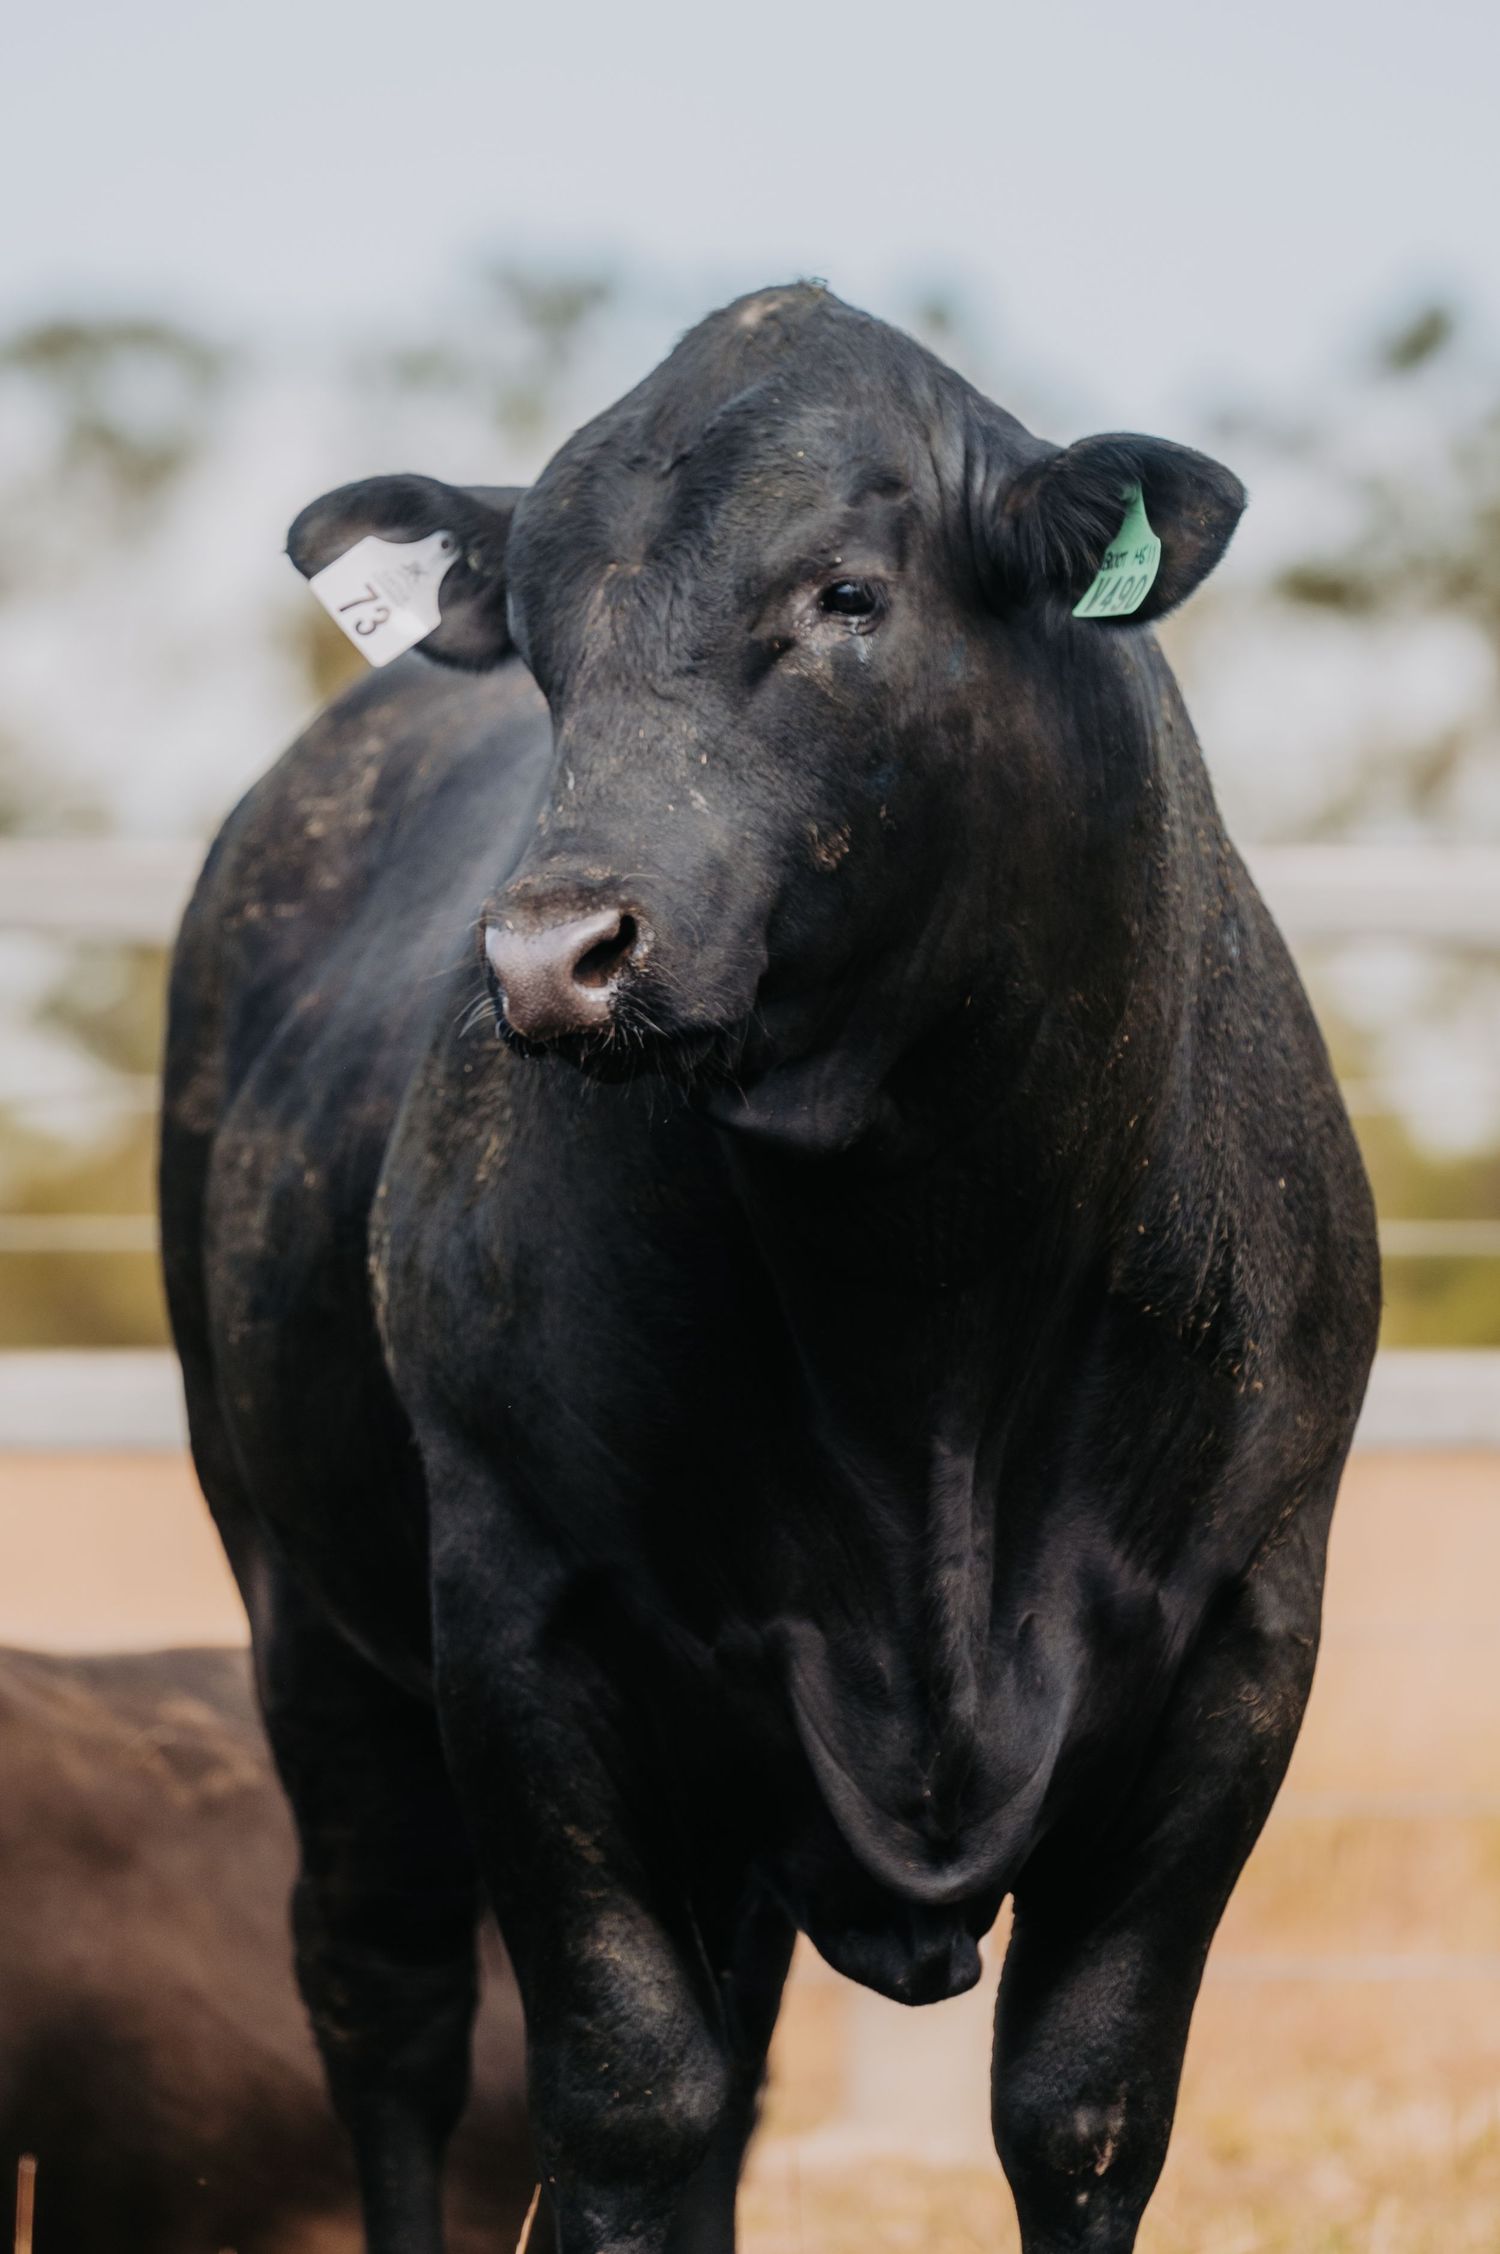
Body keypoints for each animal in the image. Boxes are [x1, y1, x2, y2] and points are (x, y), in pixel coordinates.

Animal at [160, 281, 1380, 2254]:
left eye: (848, 595)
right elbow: (624, 2094)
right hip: (300, 1608)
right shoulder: (520, 1621)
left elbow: (1083, 2102)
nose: (553, 950)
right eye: (539, 641)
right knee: (389, 2006)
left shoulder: (1243, 1635)